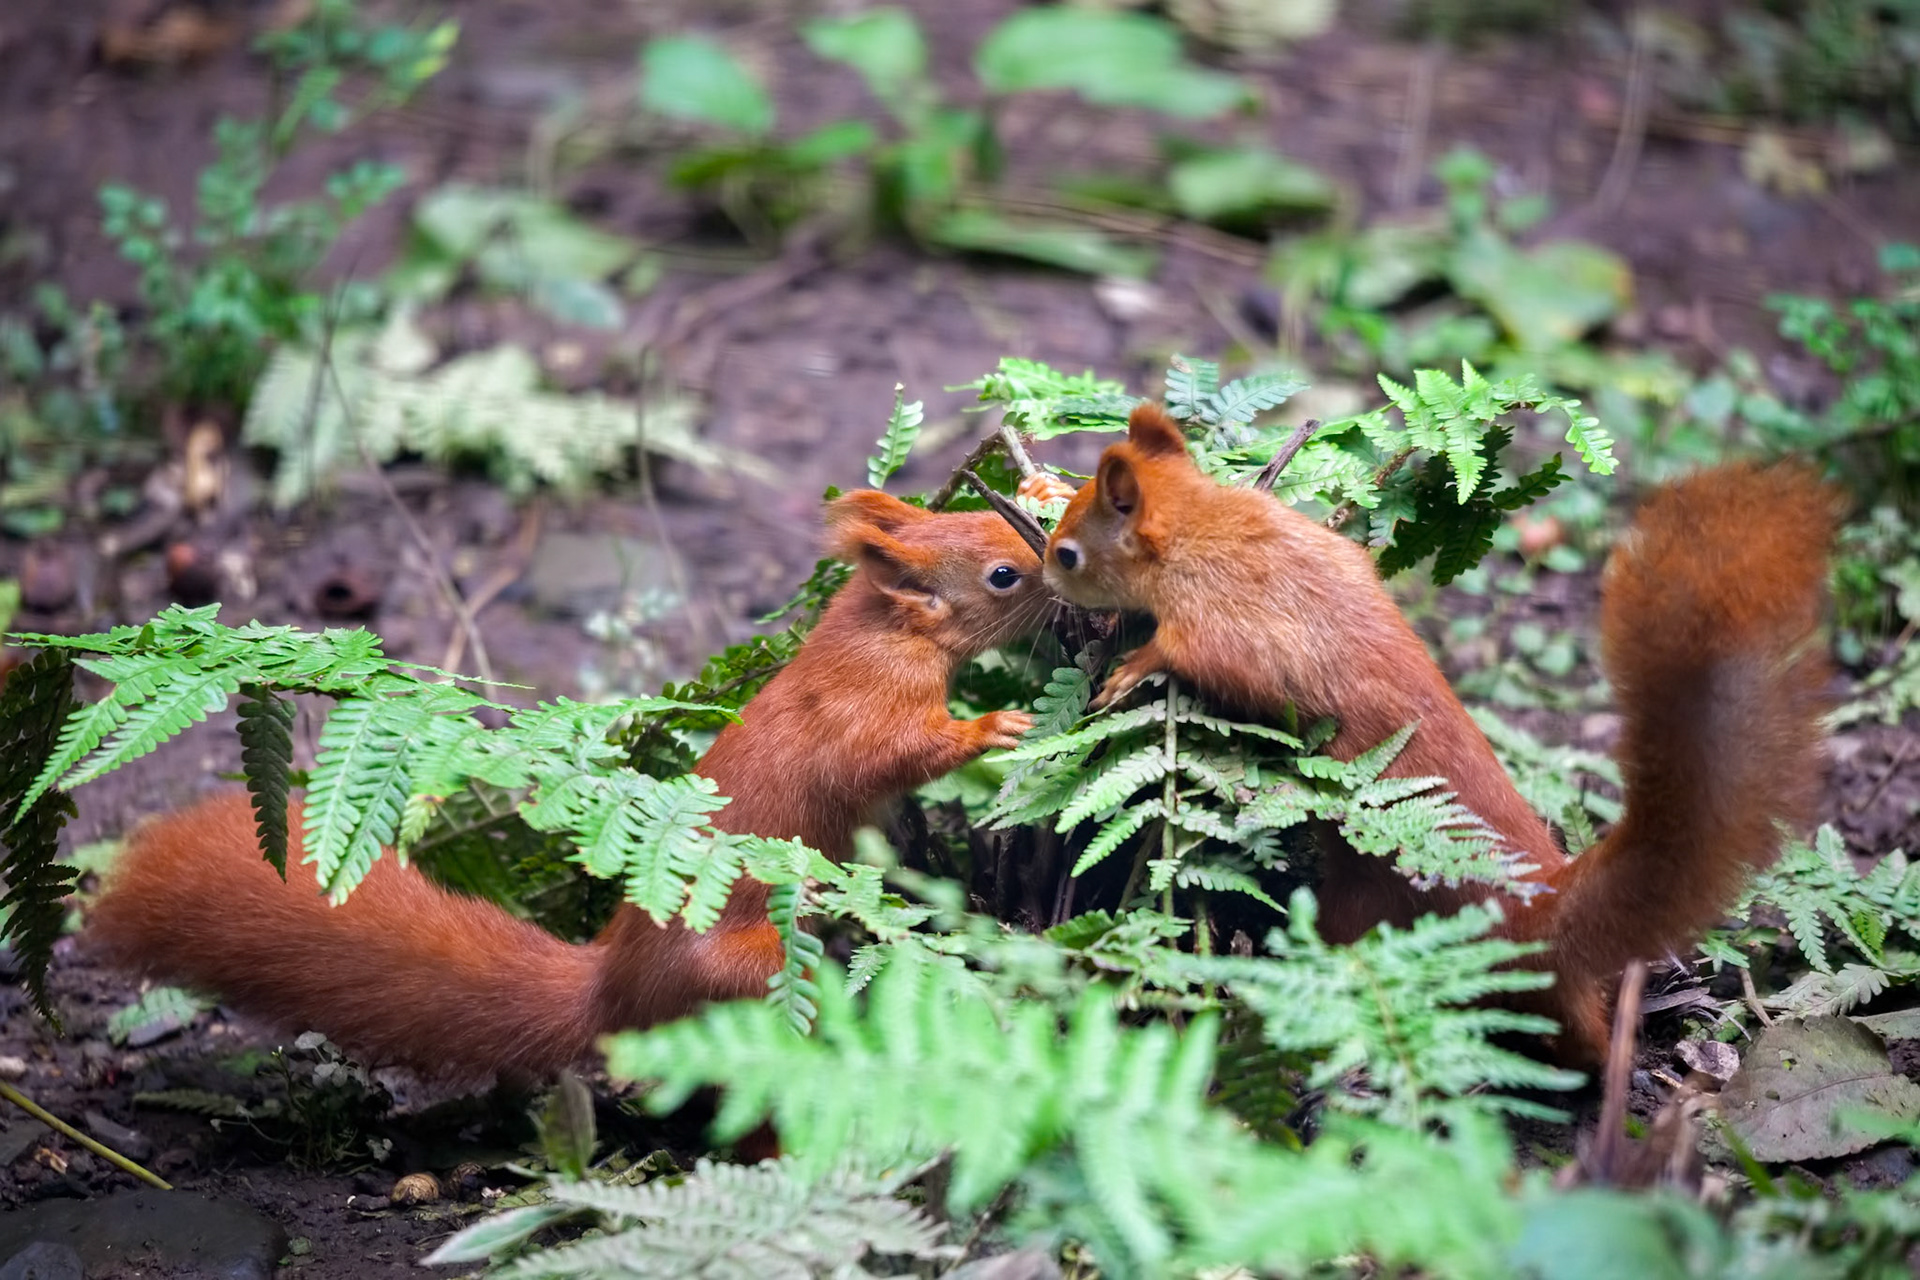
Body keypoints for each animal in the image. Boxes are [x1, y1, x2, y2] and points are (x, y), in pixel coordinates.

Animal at [86, 490, 1050, 1083]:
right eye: (1003, 574)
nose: (1057, 554)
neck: (876, 630)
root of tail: (616, 991)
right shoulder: (862, 714)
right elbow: (894, 755)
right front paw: (992, 732)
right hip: (745, 970)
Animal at [1027, 403, 1835, 1062]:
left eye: (1069, 553)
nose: (1040, 581)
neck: (1203, 525)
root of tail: (1541, 910)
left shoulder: (1232, 619)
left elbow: (1200, 656)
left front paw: (1133, 667)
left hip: (1373, 902)